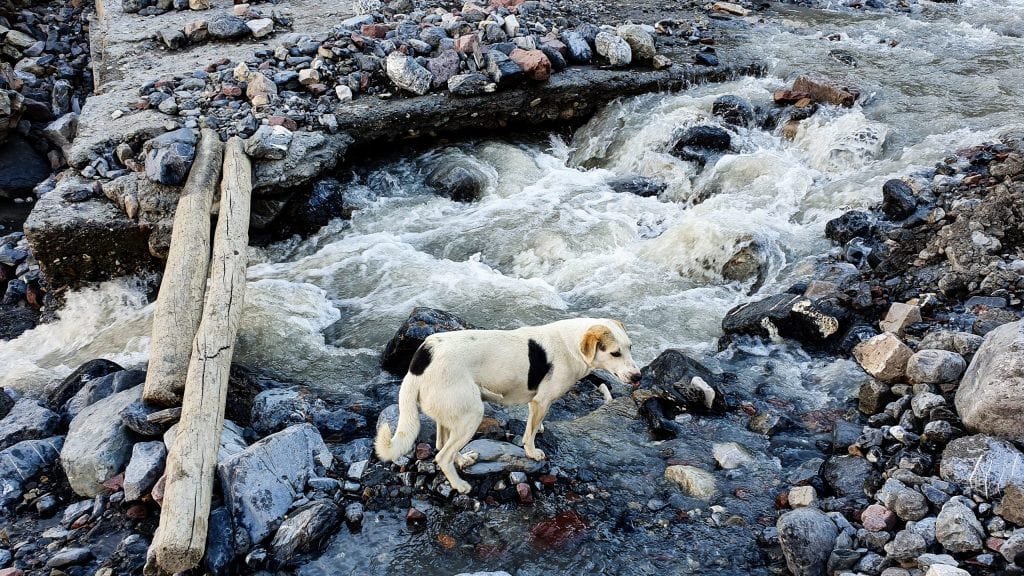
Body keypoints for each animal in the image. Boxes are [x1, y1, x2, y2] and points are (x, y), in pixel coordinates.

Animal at [376, 315, 638, 491]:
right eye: (615, 353)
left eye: (630, 348)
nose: (638, 377)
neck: (571, 344)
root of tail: (421, 360)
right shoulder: (541, 401)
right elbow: (530, 434)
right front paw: (532, 452)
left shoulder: (537, 403)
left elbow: (535, 424)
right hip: (472, 413)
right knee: (442, 456)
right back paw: (460, 486)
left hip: (453, 413)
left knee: (442, 446)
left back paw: (463, 460)